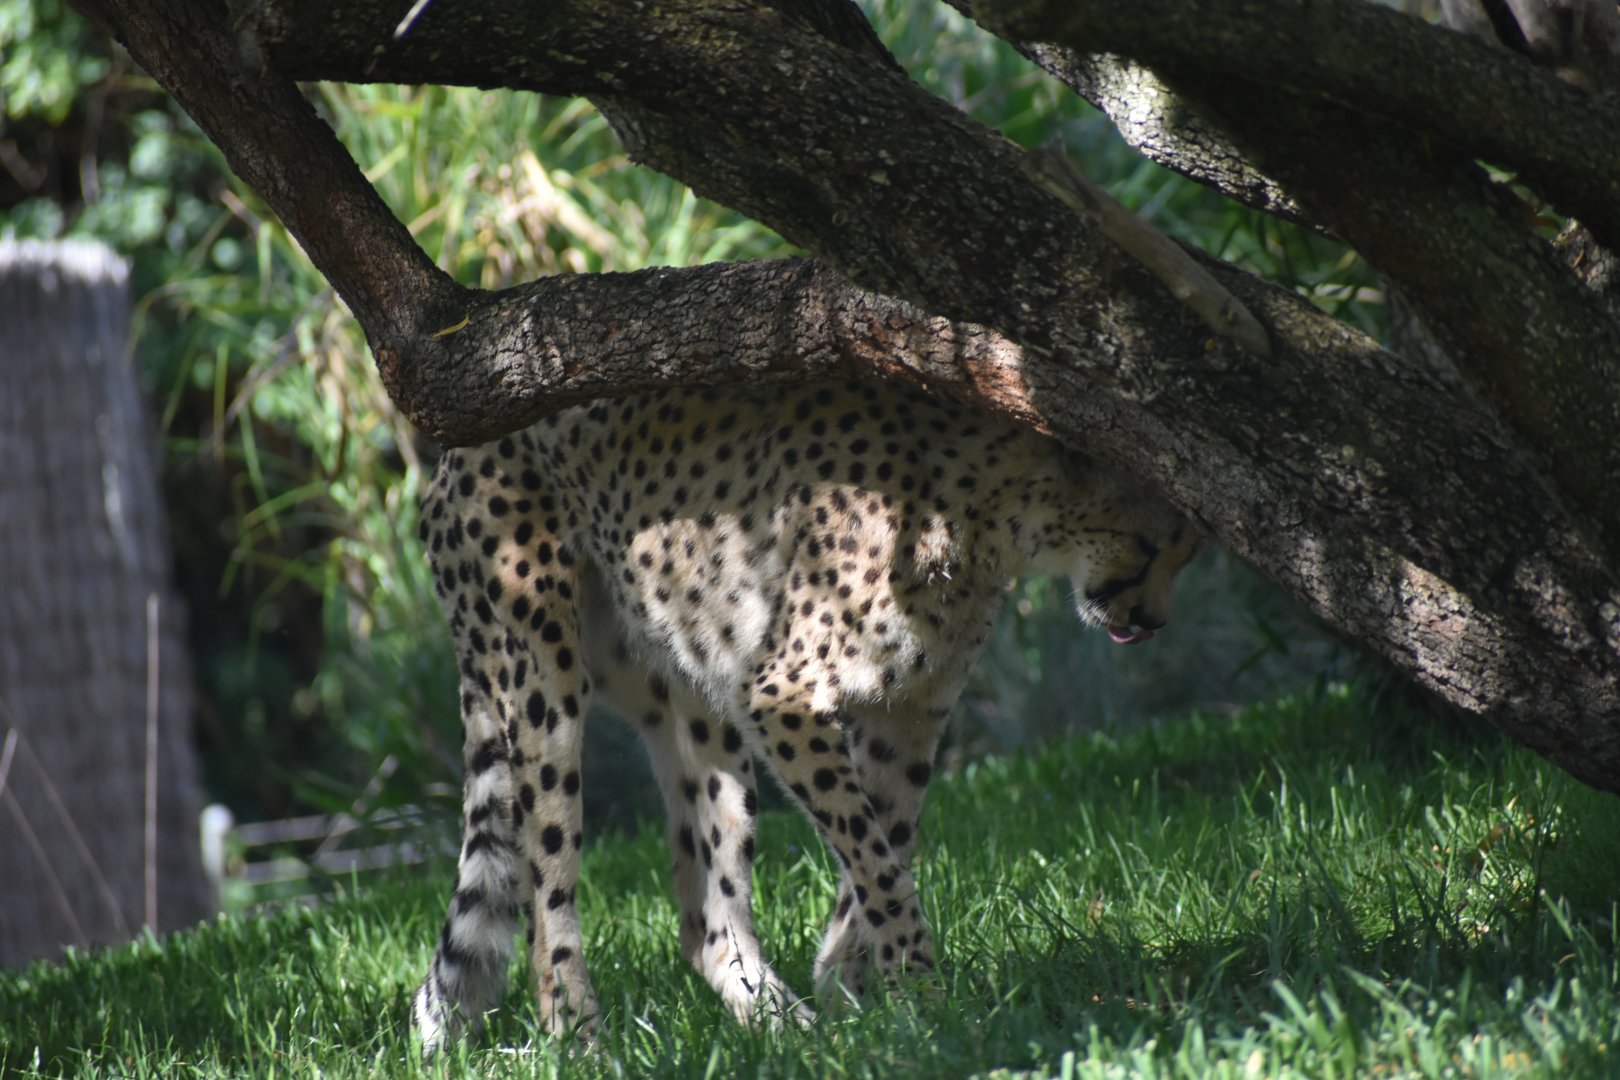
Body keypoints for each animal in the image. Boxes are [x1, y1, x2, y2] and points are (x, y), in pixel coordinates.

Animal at [411, 378, 1201, 1051]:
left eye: (1185, 555)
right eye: (1151, 545)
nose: (1155, 622)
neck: (986, 504)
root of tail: (453, 448)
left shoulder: (910, 712)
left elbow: (886, 843)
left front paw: (857, 989)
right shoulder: (781, 696)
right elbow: (874, 855)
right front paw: (923, 993)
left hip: (693, 693)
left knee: (708, 919)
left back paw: (788, 1028)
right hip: (542, 677)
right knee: (548, 893)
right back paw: (578, 1033)